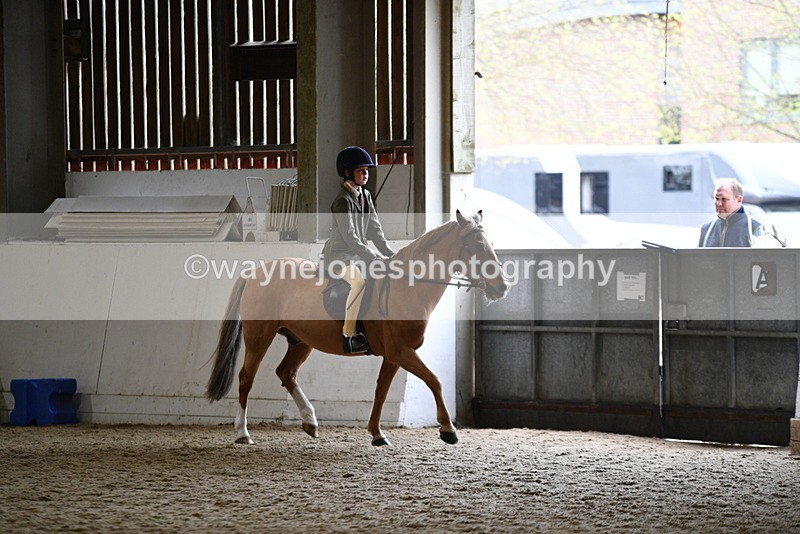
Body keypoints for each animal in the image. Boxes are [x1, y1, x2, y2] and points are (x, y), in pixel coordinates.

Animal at [206, 210, 509, 446]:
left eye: (490, 244)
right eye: (476, 246)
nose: (503, 287)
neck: (407, 288)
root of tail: (254, 272)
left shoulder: (394, 355)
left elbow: (381, 390)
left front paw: (377, 434)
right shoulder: (402, 352)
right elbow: (434, 380)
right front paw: (448, 429)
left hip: (301, 340)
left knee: (286, 372)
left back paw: (310, 422)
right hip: (259, 337)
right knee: (246, 378)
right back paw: (243, 433)